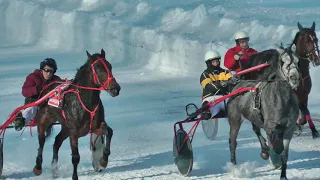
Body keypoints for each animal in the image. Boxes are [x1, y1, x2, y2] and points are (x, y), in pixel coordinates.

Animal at [33, 48, 121, 180]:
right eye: (98, 67)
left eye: (110, 66)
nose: (115, 88)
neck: (85, 101)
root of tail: (47, 88)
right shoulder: (74, 131)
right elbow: (75, 157)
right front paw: (75, 176)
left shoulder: (95, 126)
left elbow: (109, 132)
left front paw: (103, 161)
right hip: (44, 121)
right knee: (41, 142)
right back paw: (38, 166)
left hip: (65, 128)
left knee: (57, 142)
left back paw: (54, 170)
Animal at [228, 45, 300, 179]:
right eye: (283, 62)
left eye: (298, 61)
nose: (295, 77)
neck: (282, 99)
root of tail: (237, 85)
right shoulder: (270, 127)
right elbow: (276, 146)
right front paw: (274, 158)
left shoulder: (289, 129)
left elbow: (284, 153)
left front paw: (283, 175)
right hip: (235, 120)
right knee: (233, 142)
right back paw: (234, 166)